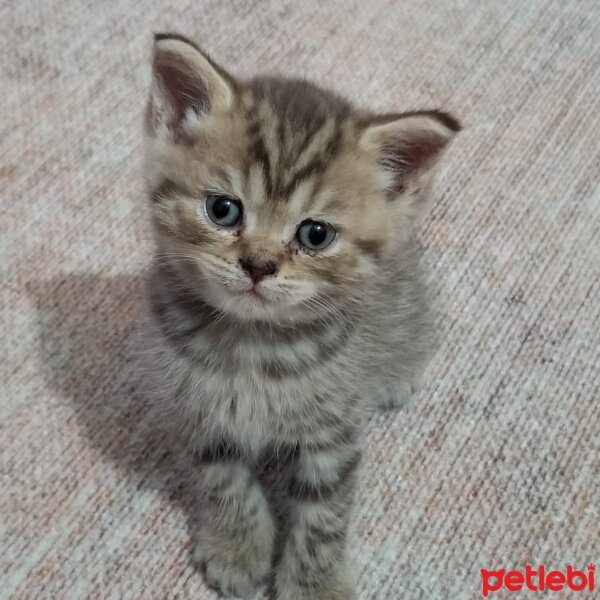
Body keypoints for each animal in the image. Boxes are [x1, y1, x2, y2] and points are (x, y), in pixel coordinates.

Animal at [144, 32, 460, 600]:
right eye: (223, 209)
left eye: (315, 235)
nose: (258, 265)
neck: (251, 343)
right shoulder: (200, 411)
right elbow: (224, 483)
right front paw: (238, 548)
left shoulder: (333, 433)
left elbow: (324, 514)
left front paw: (315, 584)